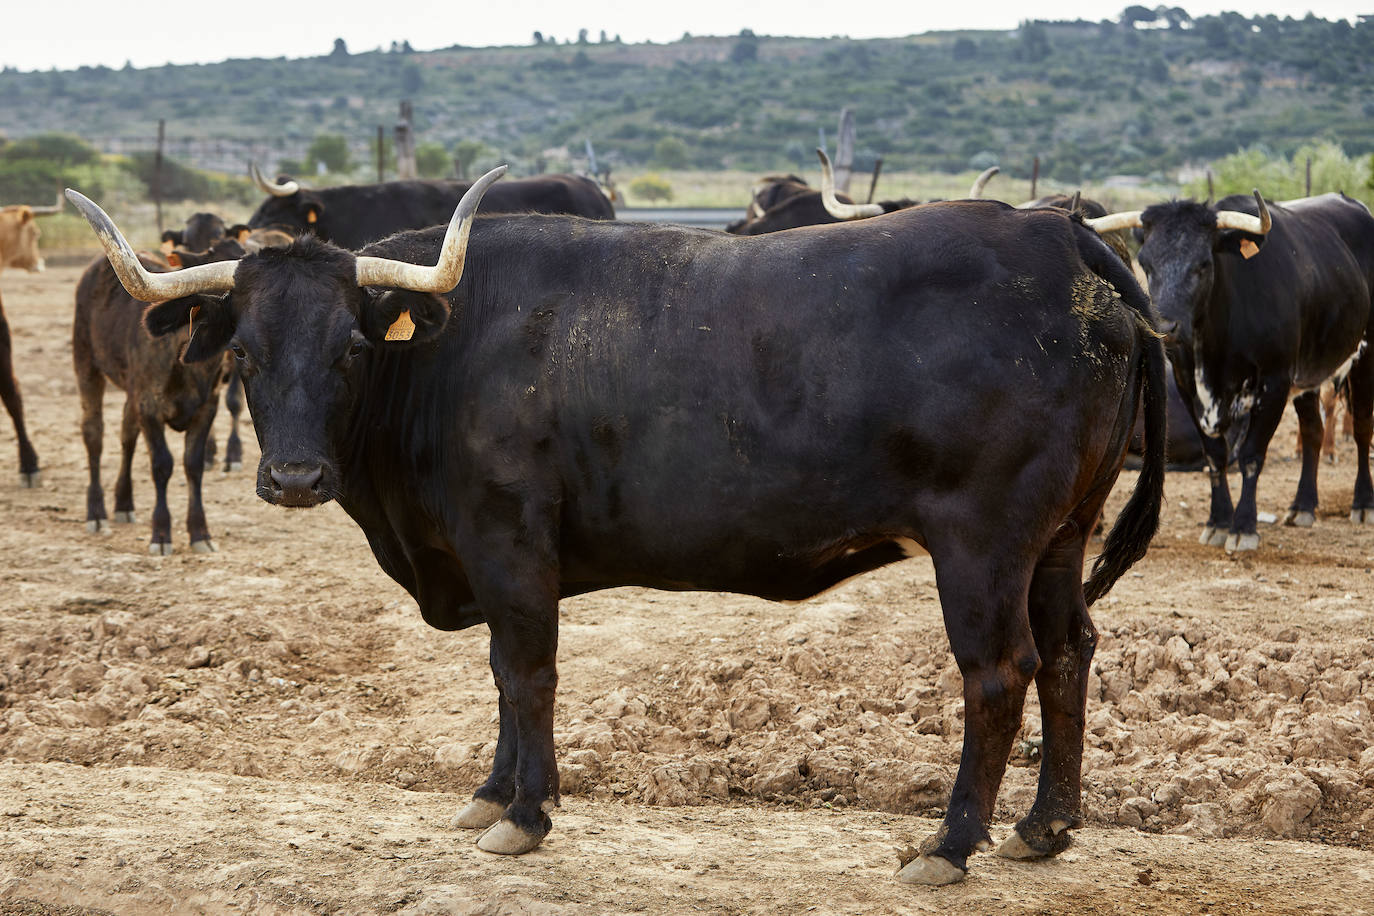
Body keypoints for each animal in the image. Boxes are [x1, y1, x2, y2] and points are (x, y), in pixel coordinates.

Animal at [72, 173, 1170, 889]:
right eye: (244, 354)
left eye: (348, 346)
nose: (296, 477)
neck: (450, 352)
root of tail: (1058, 235)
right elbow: (502, 679)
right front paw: (491, 793)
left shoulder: (509, 544)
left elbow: (526, 672)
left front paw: (524, 815)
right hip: (1062, 536)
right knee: (1070, 651)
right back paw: (1045, 826)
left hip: (984, 544)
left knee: (999, 673)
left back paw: (950, 845)